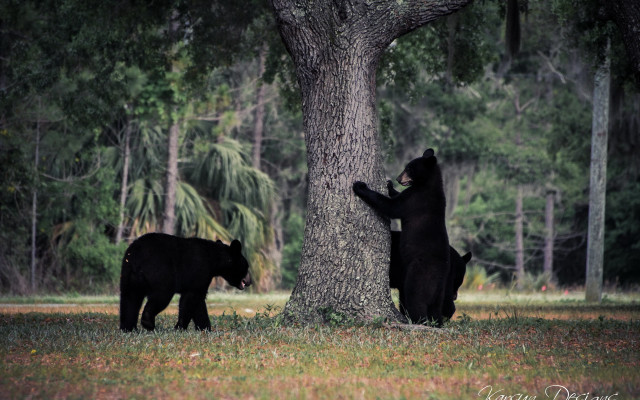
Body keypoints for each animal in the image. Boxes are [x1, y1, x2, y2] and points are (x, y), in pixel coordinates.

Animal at [119, 233, 251, 332]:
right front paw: (180, 327)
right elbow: (191, 298)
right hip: (160, 270)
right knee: (162, 294)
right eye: (246, 266)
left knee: (129, 299)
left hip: (128, 275)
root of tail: (137, 257)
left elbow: (198, 302)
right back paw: (148, 322)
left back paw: (128, 328)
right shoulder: (199, 270)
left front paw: (205, 328)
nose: (249, 281)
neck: (214, 259)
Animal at [353, 148, 450, 326]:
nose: (398, 178)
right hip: (440, 290)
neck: (428, 185)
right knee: (436, 308)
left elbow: (391, 206)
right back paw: (436, 323)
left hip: (419, 272)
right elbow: (396, 197)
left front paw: (360, 186)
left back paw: (416, 320)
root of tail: (440, 276)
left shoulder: (415, 199)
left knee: (415, 297)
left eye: (410, 168)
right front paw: (389, 185)